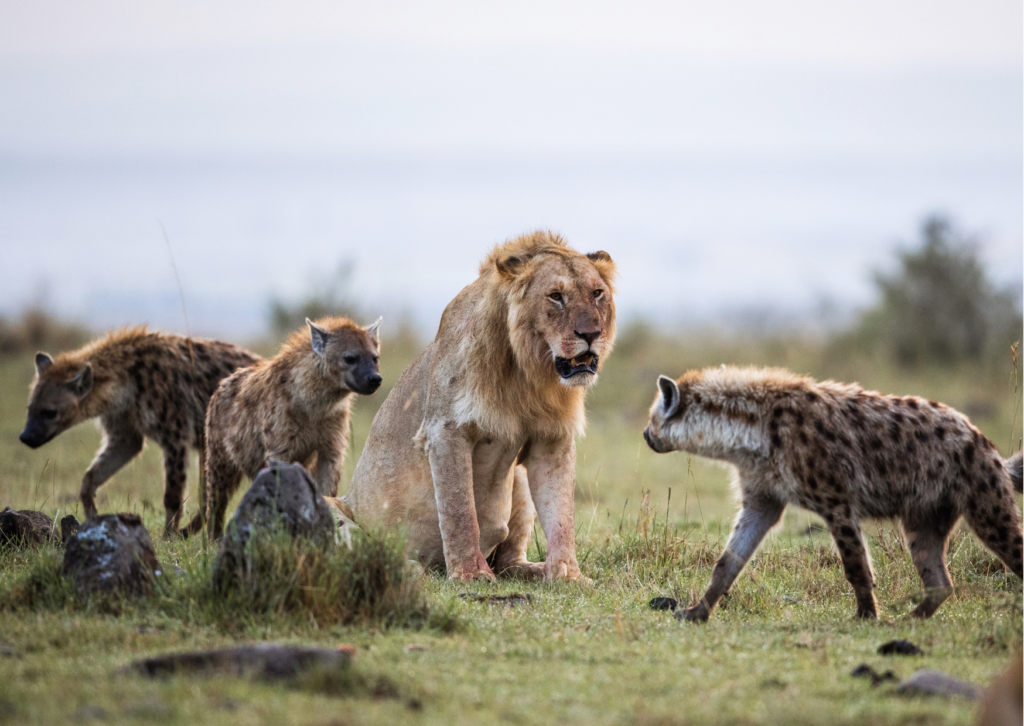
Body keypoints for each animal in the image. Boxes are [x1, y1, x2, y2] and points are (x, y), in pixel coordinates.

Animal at [342, 229, 614, 581]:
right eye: (556, 296)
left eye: (597, 293)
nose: (591, 334)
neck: (526, 371)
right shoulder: (444, 430)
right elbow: (460, 510)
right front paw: (471, 573)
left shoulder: (552, 436)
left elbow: (561, 514)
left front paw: (568, 576)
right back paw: (405, 566)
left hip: (519, 481)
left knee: (509, 562)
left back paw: (536, 570)